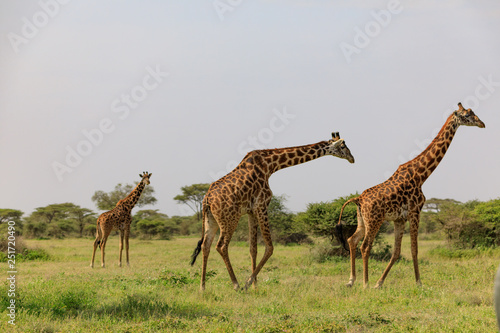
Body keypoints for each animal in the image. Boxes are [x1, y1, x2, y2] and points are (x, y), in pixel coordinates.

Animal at [191, 131, 356, 290]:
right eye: (342, 146)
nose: (352, 158)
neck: (270, 165)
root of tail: (206, 199)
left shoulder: (251, 211)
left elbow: (253, 249)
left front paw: (255, 286)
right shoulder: (262, 205)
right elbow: (269, 247)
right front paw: (248, 283)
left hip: (211, 220)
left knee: (205, 246)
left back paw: (202, 287)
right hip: (229, 219)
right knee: (221, 246)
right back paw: (236, 285)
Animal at [336, 102, 484, 286]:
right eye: (467, 115)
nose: (482, 123)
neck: (421, 176)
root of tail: (358, 199)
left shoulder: (399, 219)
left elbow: (397, 252)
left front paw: (380, 283)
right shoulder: (415, 212)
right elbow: (414, 249)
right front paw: (419, 282)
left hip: (362, 220)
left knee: (352, 240)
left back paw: (351, 280)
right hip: (374, 220)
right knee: (365, 246)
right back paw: (365, 283)